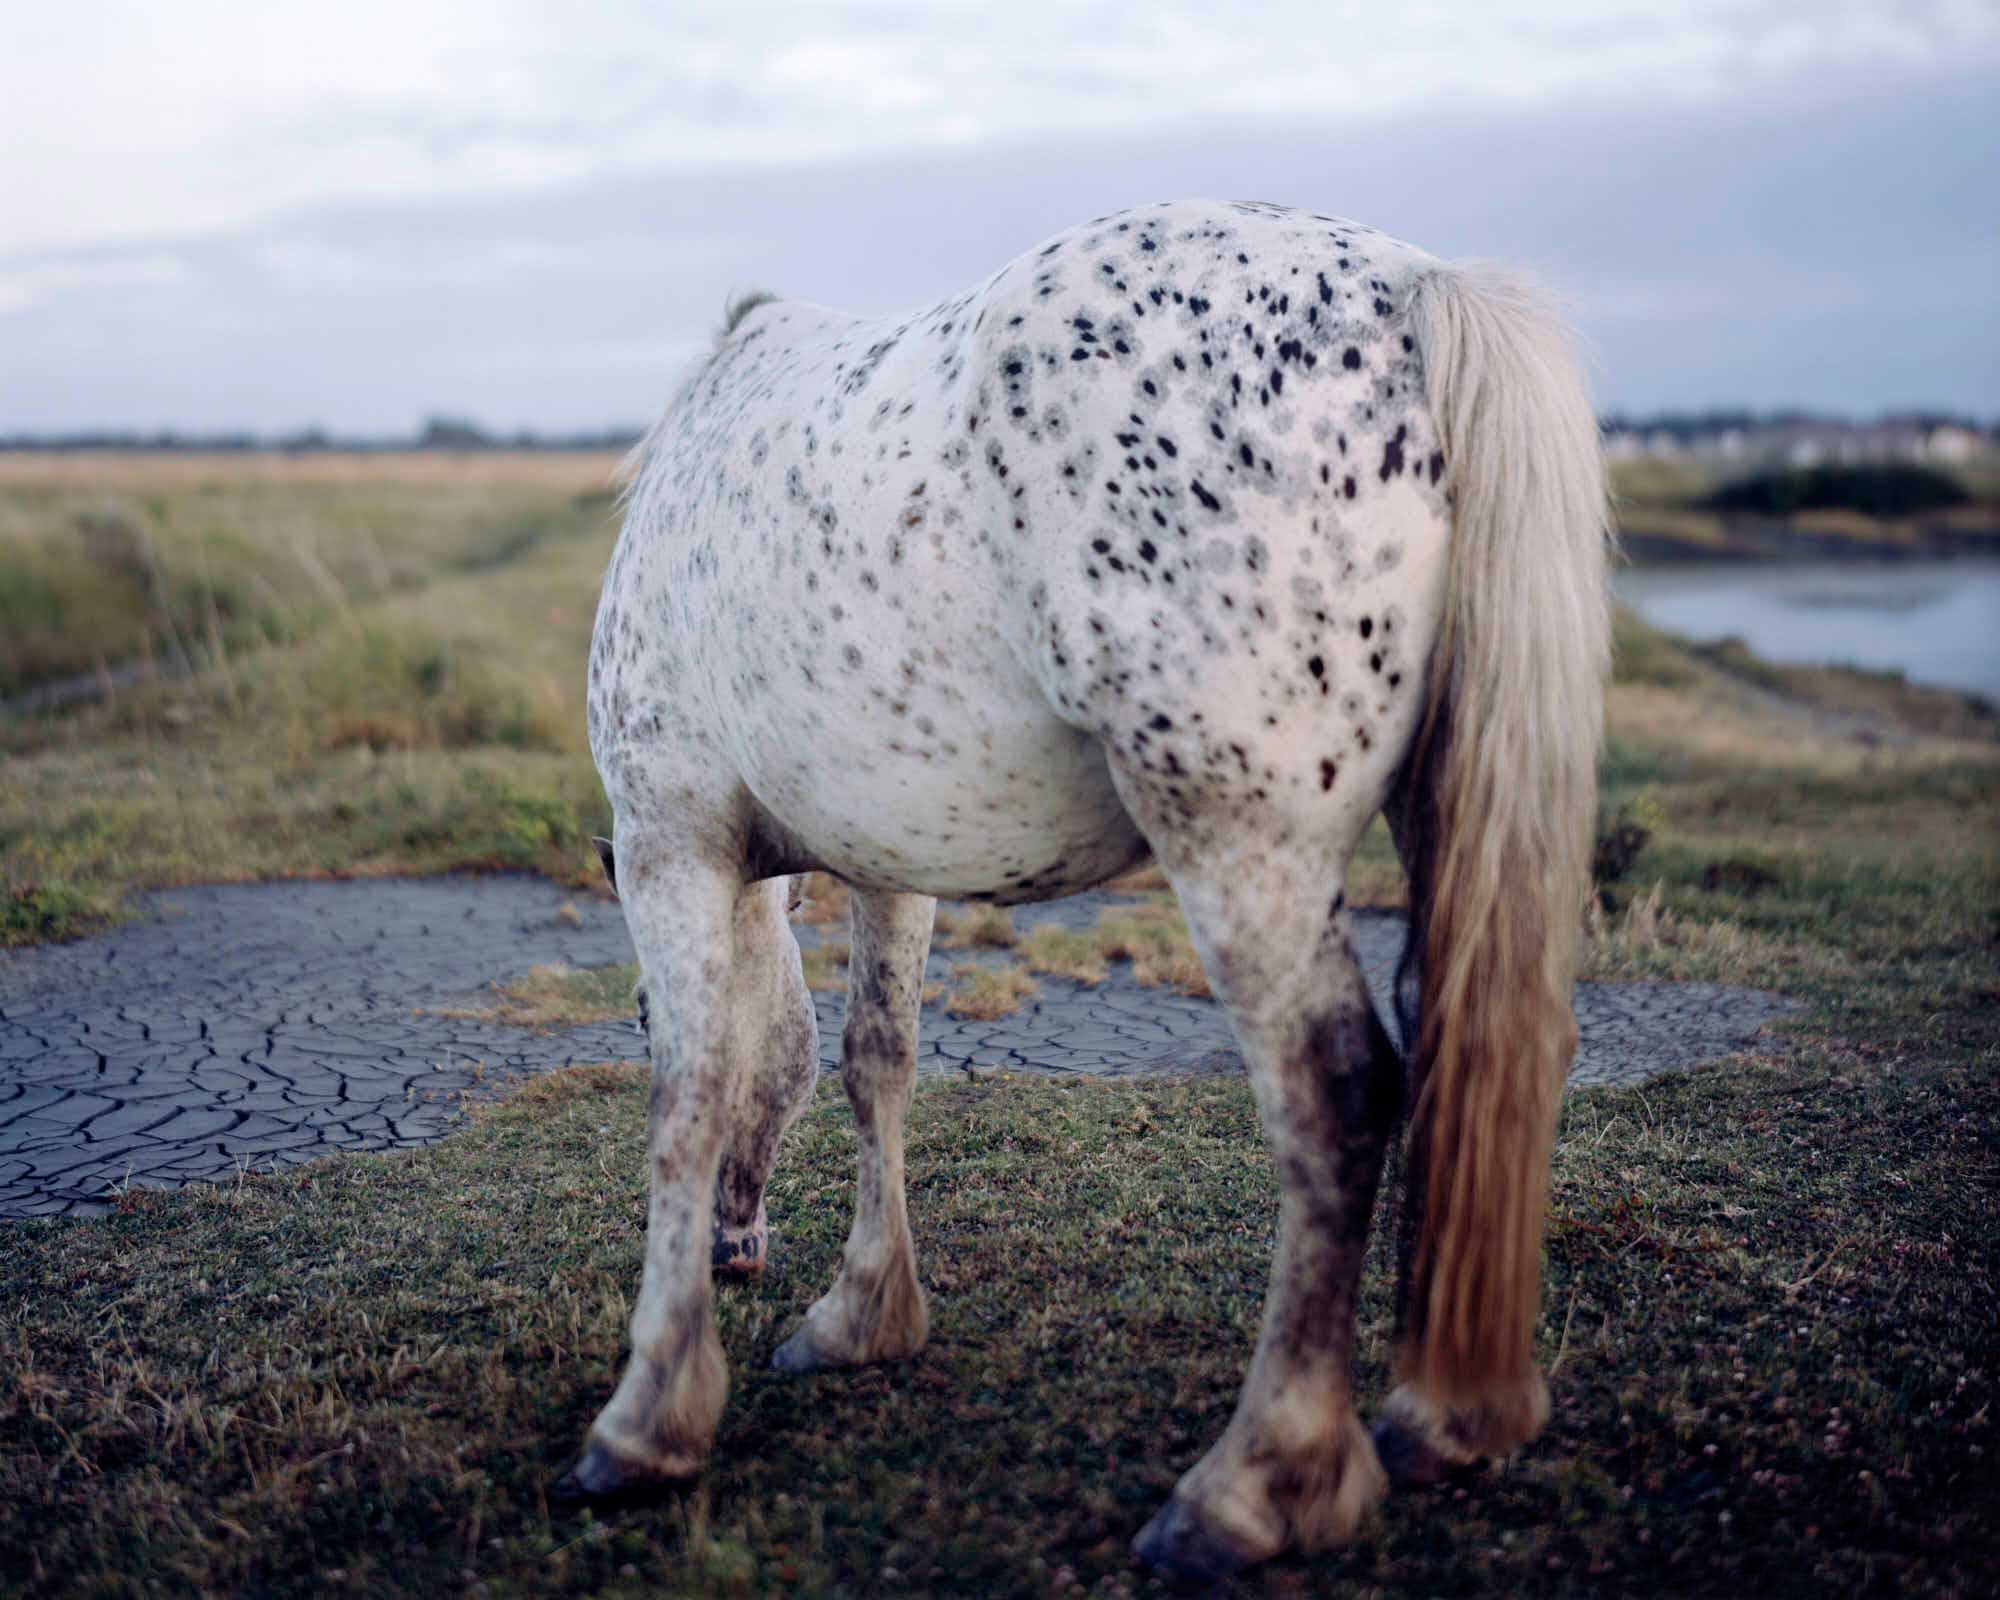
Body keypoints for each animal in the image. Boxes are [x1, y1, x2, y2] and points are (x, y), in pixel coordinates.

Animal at [564, 197, 1608, 1576]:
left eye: (631, 1012)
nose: (739, 1250)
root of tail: (1410, 291)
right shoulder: (891, 865)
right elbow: (873, 1061)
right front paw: (861, 1316)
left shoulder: (670, 839)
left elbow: (689, 1097)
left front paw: (646, 1421)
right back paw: (1444, 1421)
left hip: (1240, 838)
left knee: (1337, 1092)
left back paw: (1255, 1485)